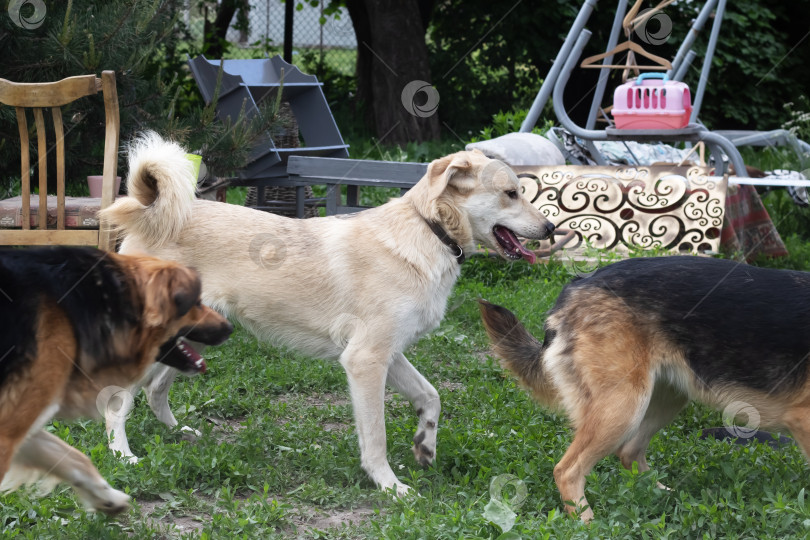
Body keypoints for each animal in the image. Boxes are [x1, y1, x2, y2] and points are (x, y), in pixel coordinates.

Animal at [0, 247, 232, 512]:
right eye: (197, 302)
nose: (230, 327)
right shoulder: (9, 431)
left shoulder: (23, 422)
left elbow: (74, 458)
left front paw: (108, 498)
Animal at [101, 133, 552, 496]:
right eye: (511, 193)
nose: (550, 230)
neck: (428, 231)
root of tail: (150, 211)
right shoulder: (365, 360)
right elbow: (376, 438)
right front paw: (389, 486)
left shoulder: (389, 353)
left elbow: (431, 397)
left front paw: (425, 445)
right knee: (116, 401)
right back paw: (123, 457)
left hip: (195, 337)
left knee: (154, 389)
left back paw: (178, 432)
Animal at [480, 258, 808, 524]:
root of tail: (577, 283)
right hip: (623, 406)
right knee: (567, 470)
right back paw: (587, 524)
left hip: (664, 399)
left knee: (629, 452)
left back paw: (663, 495)